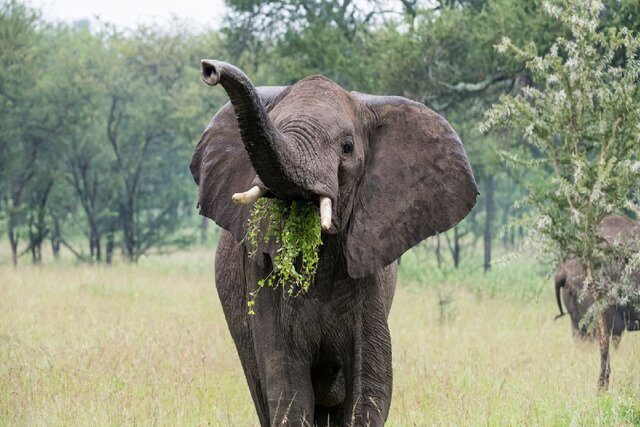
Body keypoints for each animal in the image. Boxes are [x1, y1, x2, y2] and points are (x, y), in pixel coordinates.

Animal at [188, 61, 478, 427]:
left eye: (347, 147)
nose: (209, 69)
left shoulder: (369, 271)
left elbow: (372, 381)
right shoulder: (260, 273)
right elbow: (286, 381)